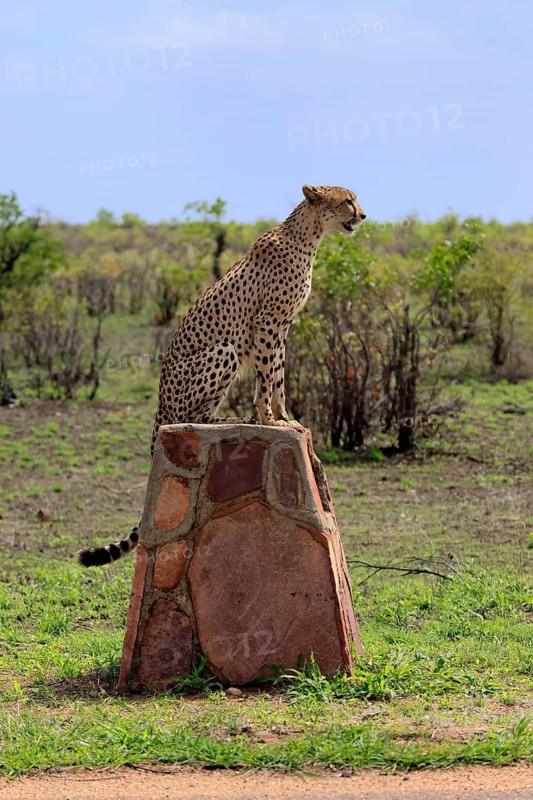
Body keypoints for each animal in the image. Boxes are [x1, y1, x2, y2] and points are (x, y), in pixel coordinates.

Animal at [77, 184, 366, 567]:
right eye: (348, 201)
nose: (363, 215)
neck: (307, 236)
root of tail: (160, 406)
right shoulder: (266, 323)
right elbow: (267, 377)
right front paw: (270, 420)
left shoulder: (281, 328)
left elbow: (278, 377)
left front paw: (284, 418)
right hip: (223, 350)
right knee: (193, 417)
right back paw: (231, 419)